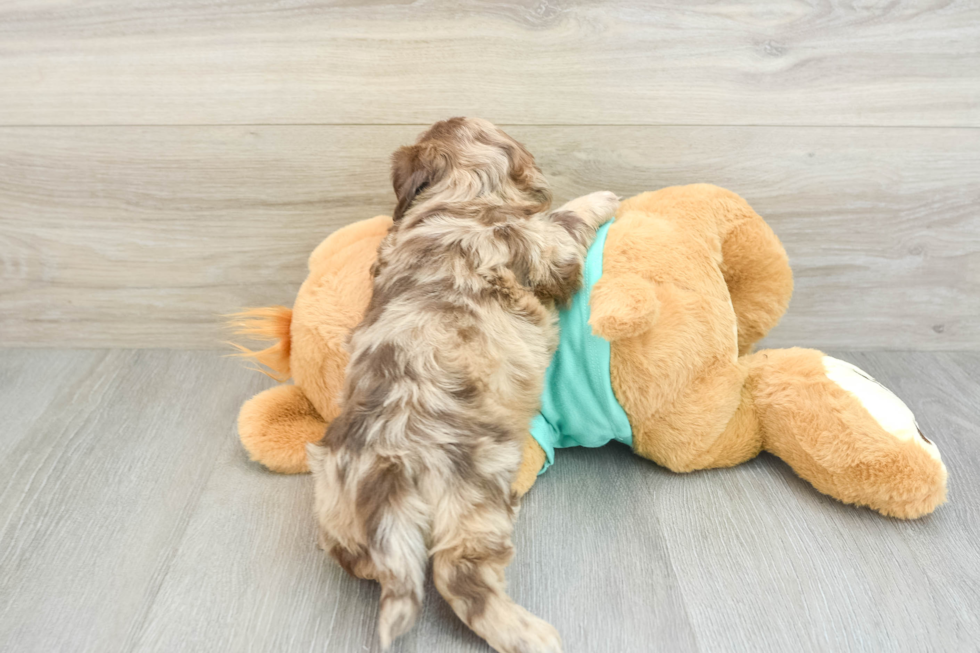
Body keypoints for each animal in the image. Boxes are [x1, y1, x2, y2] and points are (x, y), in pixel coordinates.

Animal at [306, 118, 616, 652]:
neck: (460, 190)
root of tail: (385, 469)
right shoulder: (542, 242)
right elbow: (565, 221)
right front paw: (602, 198)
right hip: (472, 494)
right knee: (461, 577)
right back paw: (530, 633)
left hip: (334, 506)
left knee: (364, 562)